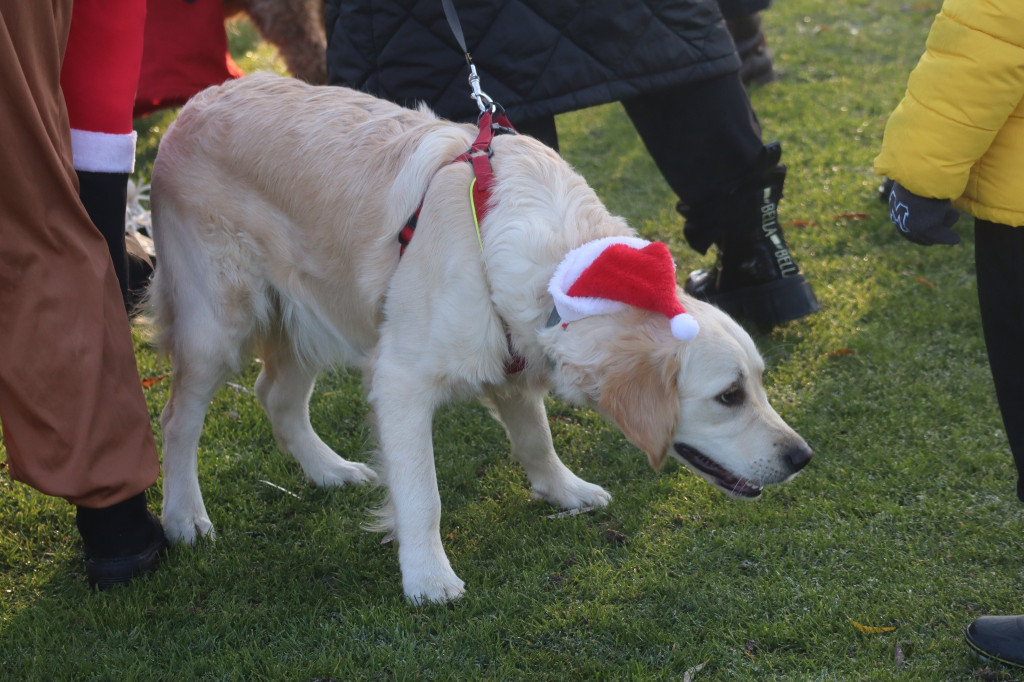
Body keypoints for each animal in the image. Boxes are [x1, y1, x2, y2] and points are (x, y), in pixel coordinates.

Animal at [148, 71, 811, 602]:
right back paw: (184, 518)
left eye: (759, 383)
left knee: (276, 397)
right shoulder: (400, 379)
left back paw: (330, 471)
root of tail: (193, 105)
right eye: (729, 396)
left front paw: (563, 490)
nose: (801, 457)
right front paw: (427, 577)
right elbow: (423, 493)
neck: (555, 267)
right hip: (219, 320)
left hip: (310, 310)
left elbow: (537, 438)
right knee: (179, 419)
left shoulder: (513, 354)